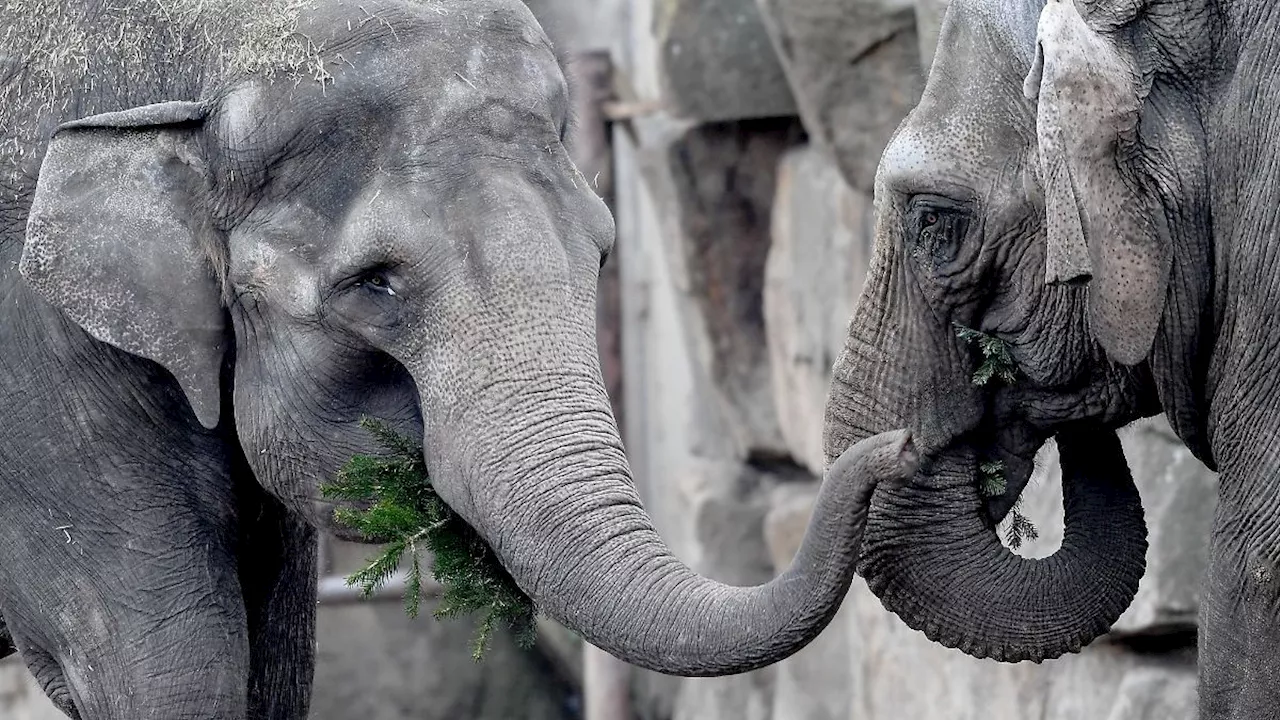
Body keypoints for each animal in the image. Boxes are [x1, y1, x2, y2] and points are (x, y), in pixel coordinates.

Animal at [2, 0, 921, 712]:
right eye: (375, 284)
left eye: (602, 254)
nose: (903, 442)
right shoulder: (38, 370)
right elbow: (174, 666)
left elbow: (278, 663)